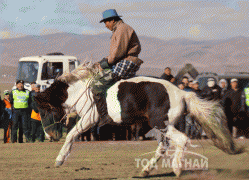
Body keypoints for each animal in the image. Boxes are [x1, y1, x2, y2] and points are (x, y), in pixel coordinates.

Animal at [35, 63, 243, 177]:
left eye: (44, 111)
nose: (49, 135)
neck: (82, 90)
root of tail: (182, 93)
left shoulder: (89, 119)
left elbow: (71, 135)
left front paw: (59, 159)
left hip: (162, 124)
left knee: (182, 140)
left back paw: (176, 169)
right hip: (162, 128)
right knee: (163, 147)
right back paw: (146, 170)